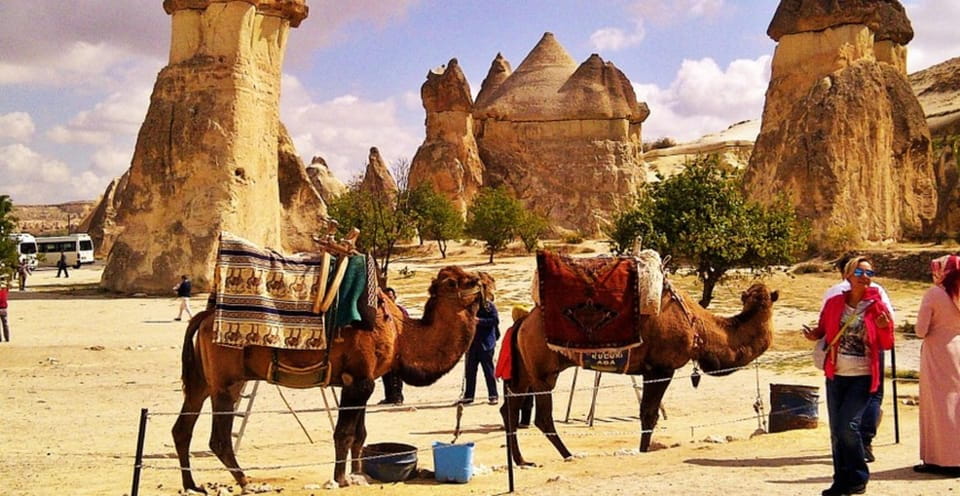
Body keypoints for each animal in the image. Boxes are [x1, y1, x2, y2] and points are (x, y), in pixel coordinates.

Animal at [172, 266, 490, 491]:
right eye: (456, 282)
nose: (486, 280)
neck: (399, 332)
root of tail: (203, 318)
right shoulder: (357, 380)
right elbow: (344, 433)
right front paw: (341, 478)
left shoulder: (366, 380)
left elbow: (360, 434)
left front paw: (358, 472)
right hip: (226, 381)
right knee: (218, 438)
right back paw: (245, 482)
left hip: (204, 381)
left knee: (182, 428)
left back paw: (192, 485)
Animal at [500, 282, 778, 466]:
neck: (697, 328)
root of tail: (522, 322)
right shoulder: (661, 368)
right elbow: (649, 415)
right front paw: (644, 451)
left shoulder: (649, 370)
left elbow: (647, 414)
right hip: (544, 372)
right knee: (542, 417)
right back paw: (568, 455)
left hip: (524, 371)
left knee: (509, 408)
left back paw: (521, 461)